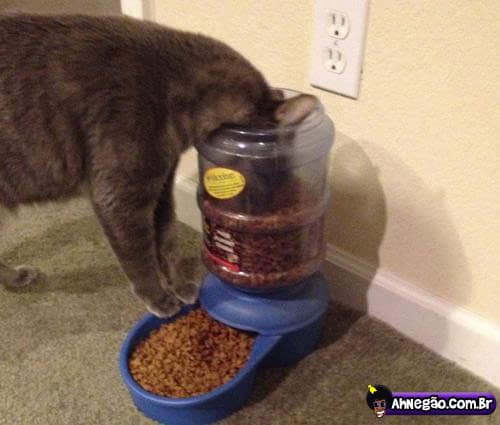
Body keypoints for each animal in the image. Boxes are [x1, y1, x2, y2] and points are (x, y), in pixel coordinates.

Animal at [0, 14, 317, 317]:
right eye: (270, 168)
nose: (271, 198)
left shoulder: (162, 186)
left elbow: (167, 241)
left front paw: (179, 285)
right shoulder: (121, 197)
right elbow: (141, 259)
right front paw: (159, 298)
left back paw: (16, 278)